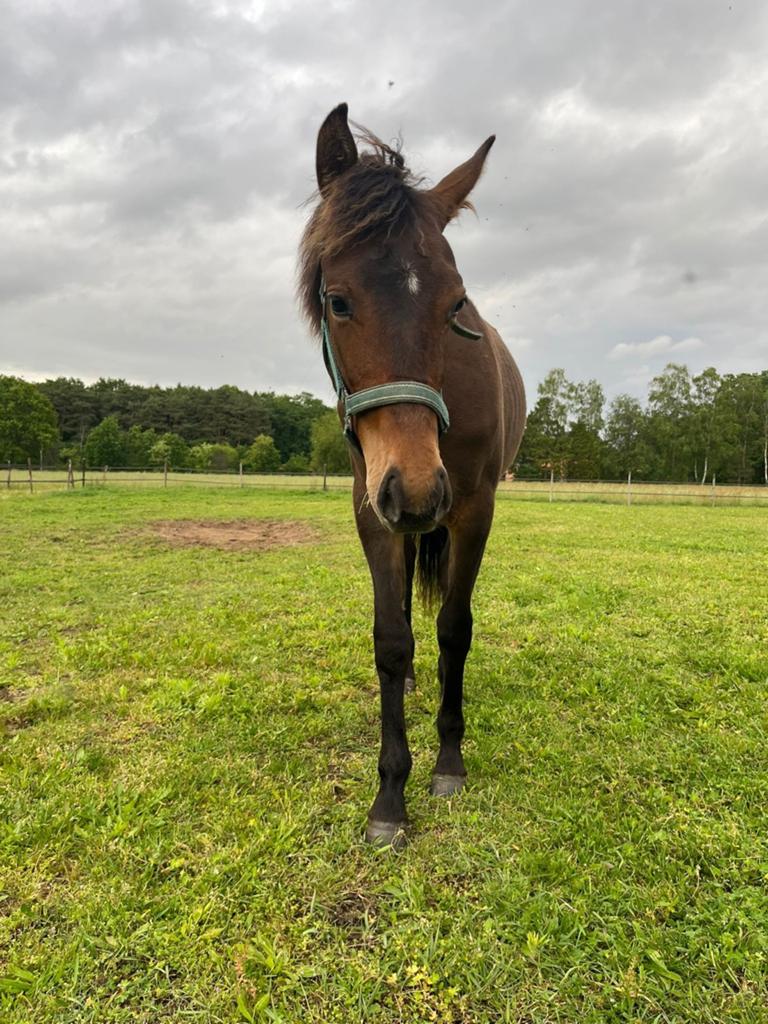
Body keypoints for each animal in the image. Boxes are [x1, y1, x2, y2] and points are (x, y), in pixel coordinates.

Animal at [298, 104, 526, 847]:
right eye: (338, 301)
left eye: (456, 305)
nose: (420, 489)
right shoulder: (372, 509)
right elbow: (392, 640)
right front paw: (390, 795)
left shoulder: (473, 508)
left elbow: (456, 626)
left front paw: (448, 761)